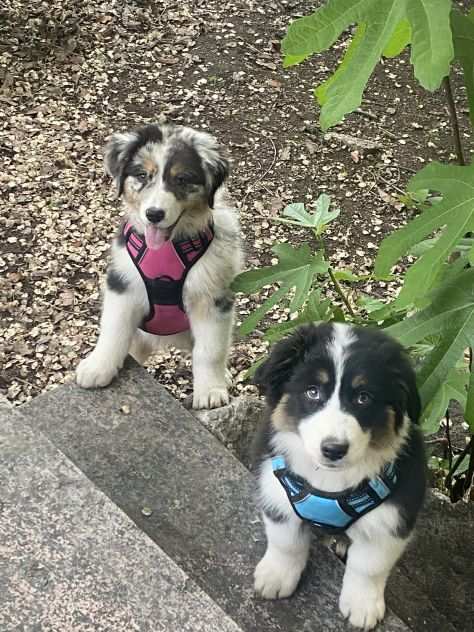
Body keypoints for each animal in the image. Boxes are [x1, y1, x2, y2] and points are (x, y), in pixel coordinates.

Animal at [77, 123, 244, 410]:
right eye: (142, 175)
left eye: (182, 179)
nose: (154, 214)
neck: (167, 247)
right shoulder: (123, 285)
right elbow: (113, 331)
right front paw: (98, 367)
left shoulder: (212, 297)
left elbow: (210, 351)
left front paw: (210, 391)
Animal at [254, 324, 424, 628]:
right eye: (312, 392)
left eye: (363, 397)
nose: (334, 449)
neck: (329, 481)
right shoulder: (276, 488)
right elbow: (286, 541)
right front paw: (275, 577)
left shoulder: (391, 519)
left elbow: (369, 565)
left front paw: (362, 607)